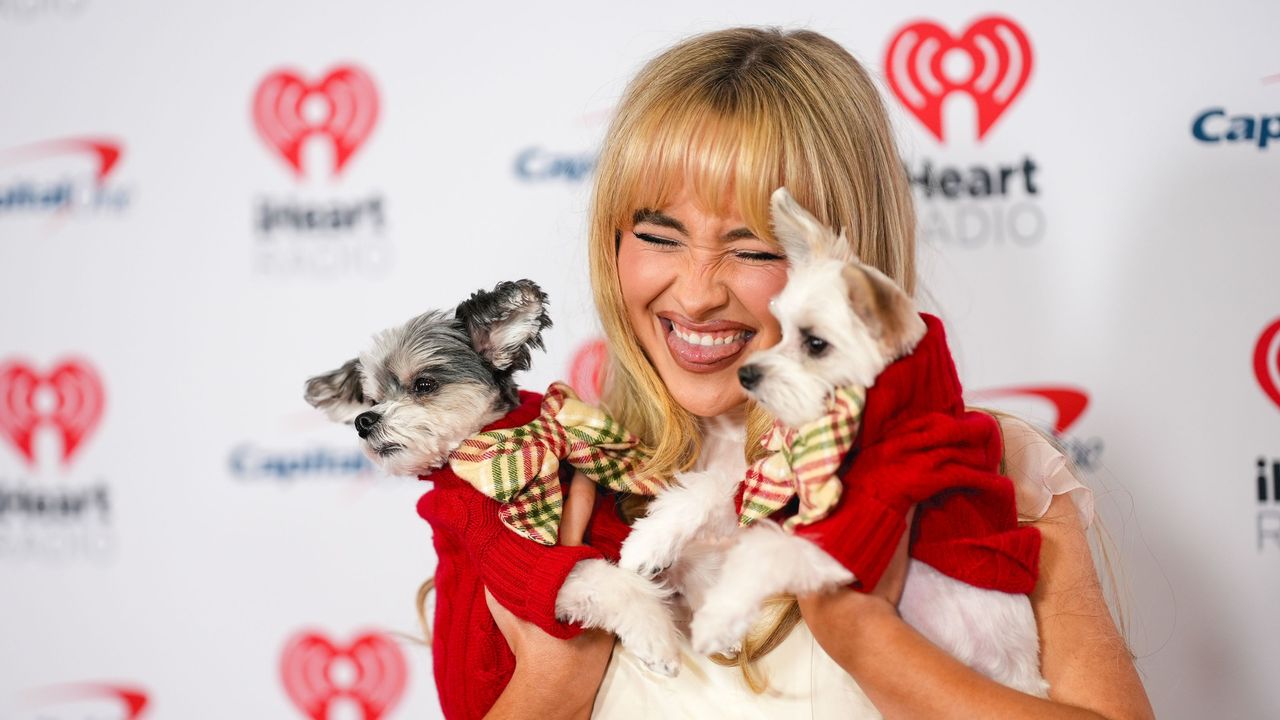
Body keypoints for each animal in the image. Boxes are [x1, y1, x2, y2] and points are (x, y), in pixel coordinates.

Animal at [304, 279, 686, 671]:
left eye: (424, 384)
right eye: (372, 400)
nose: (363, 421)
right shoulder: (517, 561)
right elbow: (610, 582)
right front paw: (657, 636)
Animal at [619, 185, 1049, 696]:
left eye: (816, 345)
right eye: (781, 330)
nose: (747, 373)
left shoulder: (856, 526)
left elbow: (766, 555)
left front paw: (718, 619)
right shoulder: (781, 489)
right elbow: (712, 490)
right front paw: (650, 540)